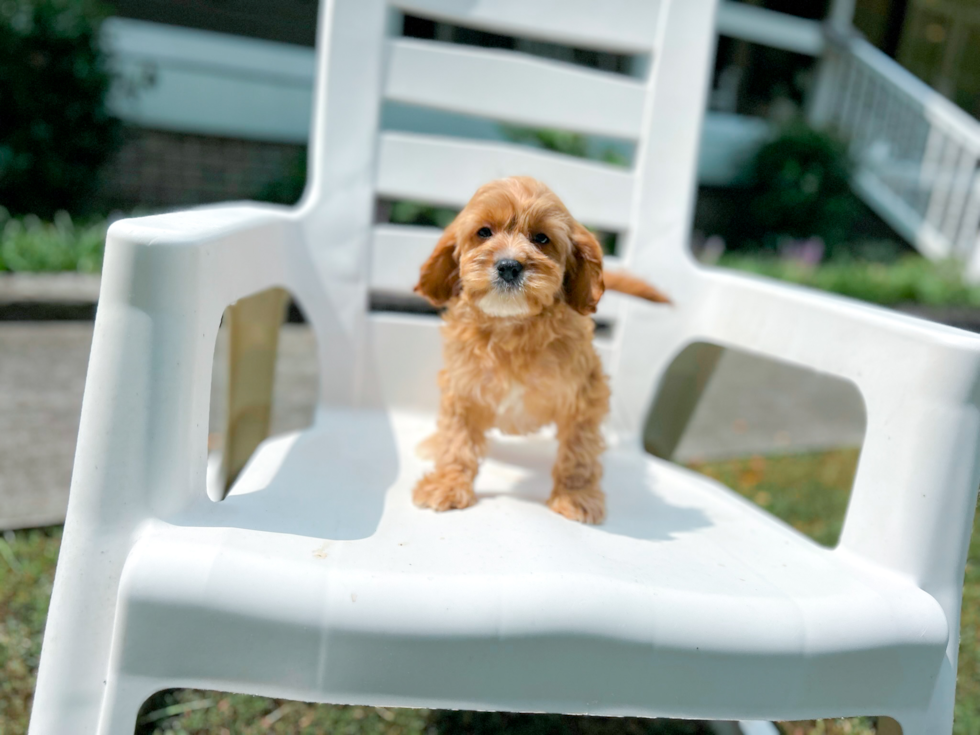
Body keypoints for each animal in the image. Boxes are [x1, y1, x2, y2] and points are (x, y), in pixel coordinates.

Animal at [410, 178, 668, 524]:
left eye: (541, 238)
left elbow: (579, 450)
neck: (513, 327)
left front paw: (575, 496)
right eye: (484, 232)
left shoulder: (586, 393)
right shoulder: (462, 387)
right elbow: (457, 439)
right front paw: (447, 483)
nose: (509, 265)